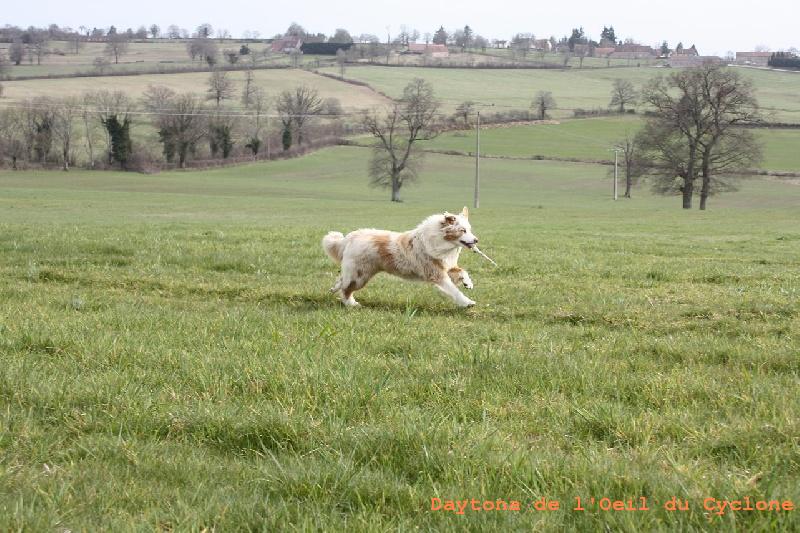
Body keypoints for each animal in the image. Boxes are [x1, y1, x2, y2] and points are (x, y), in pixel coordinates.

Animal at [322, 208, 478, 308]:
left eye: (470, 230)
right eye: (462, 230)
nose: (476, 240)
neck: (439, 240)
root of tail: (350, 237)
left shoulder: (446, 265)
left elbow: (462, 271)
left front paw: (468, 283)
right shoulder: (437, 273)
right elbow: (454, 290)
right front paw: (467, 302)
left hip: (357, 272)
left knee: (342, 280)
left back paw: (334, 289)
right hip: (360, 275)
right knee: (346, 289)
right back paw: (352, 304)